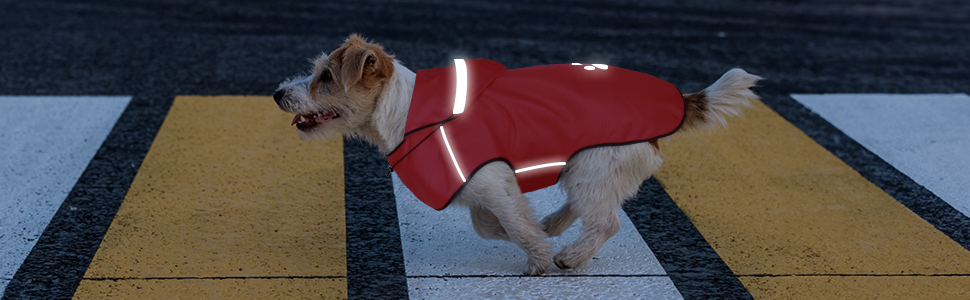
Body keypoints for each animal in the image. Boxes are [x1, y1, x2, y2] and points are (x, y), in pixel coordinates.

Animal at [270, 34, 756, 276]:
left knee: (606, 221)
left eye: (325, 77)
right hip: (588, 170)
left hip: (592, 164)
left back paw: (572, 256)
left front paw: (537, 259)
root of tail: (680, 101)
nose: (277, 94)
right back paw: (556, 225)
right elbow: (493, 226)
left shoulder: (492, 180)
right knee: (589, 207)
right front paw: (536, 234)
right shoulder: (484, 187)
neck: (404, 109)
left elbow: (514, 226)